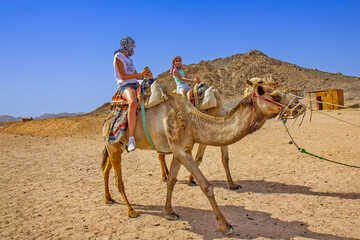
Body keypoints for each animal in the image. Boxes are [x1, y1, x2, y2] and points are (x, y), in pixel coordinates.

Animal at [100, 83, 300, 234]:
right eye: (275, 96)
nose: (297, 106)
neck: (194, 121)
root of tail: (108, 118)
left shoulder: (181, 150)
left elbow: (172, 181)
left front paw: (169, 212)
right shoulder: (181, 151)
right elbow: (207, 186)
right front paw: (225, 225)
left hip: (115, 146)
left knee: (105, 168)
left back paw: (108, 199)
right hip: (114, 145)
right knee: (119, 179)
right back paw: (131, 210)